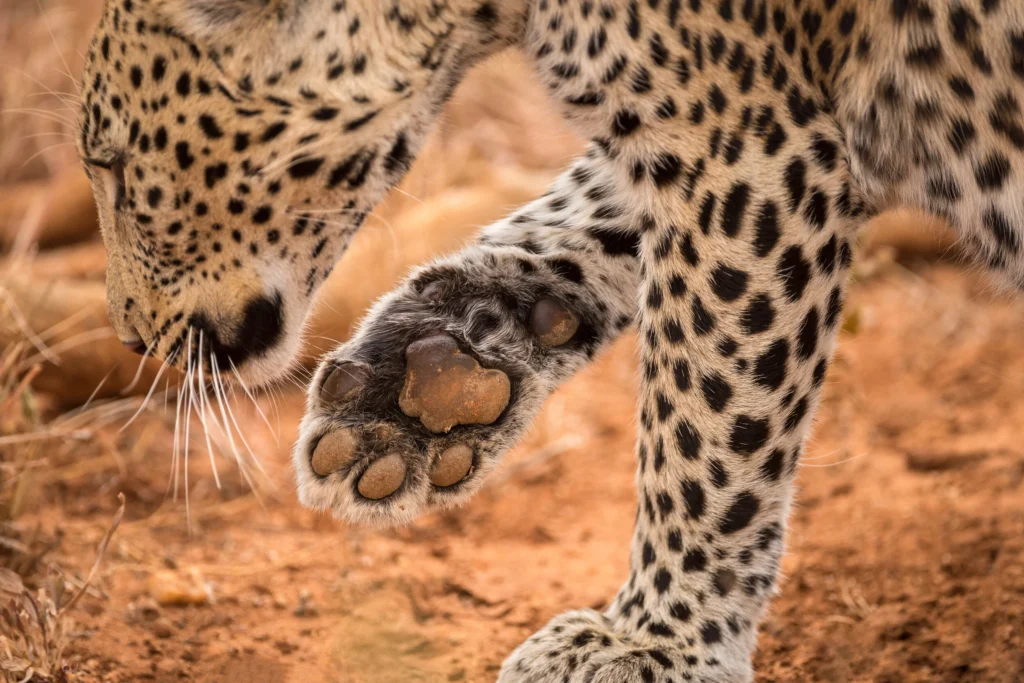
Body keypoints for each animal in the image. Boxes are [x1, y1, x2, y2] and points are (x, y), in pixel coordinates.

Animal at [77, 0, 1024, 680]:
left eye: (116, 167)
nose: (129, 334)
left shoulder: (754, 146)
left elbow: (707, 416)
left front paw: (658, 640)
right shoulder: (736, 139)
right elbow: (574, 217)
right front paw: (417, 395)